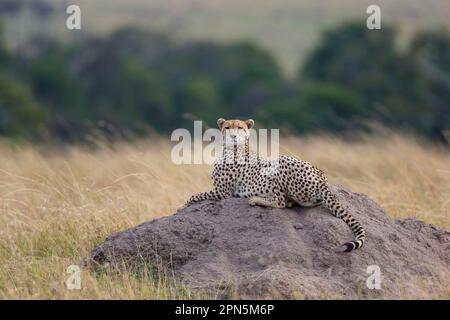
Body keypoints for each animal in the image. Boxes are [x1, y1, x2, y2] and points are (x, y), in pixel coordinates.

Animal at [186, 117, 366, 252]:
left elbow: (194, 196)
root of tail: (322, 178)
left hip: (280, 162)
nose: (233, 136)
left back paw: (256, 199)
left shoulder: (221, 192)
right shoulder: (220, 191)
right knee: (291, 202)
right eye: (228, 127)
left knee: (281, 202)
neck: (233, 149)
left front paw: (185, 204)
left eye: (240, 128)